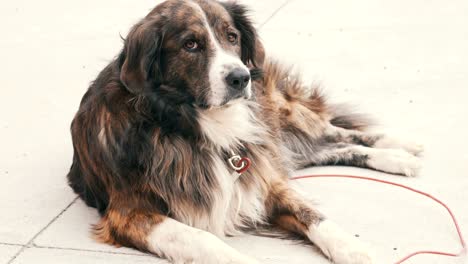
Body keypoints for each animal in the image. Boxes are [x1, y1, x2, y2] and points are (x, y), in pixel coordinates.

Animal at [66, 1, 424, 262]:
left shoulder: (265, 180)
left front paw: (355, 249)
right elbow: (202, 239)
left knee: (336, 133)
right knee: (327, 148)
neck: (188, 125)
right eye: (190, 44)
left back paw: (400, 149)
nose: (240, 78)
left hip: (279, 113)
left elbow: (314, 216)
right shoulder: (128, 213)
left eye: (232, 37)